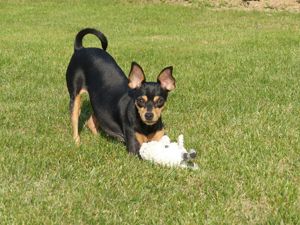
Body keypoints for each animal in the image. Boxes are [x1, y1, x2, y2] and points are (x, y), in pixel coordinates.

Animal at [64, 28, 175, 156]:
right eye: (140, 100)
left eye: (160, 101)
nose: (149, 115)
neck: (147, 127)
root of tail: (80, 49)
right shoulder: (134, 148)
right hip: (75, 97)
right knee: (75, 121)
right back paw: (77, 143)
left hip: (100, 103)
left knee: (91, 121)